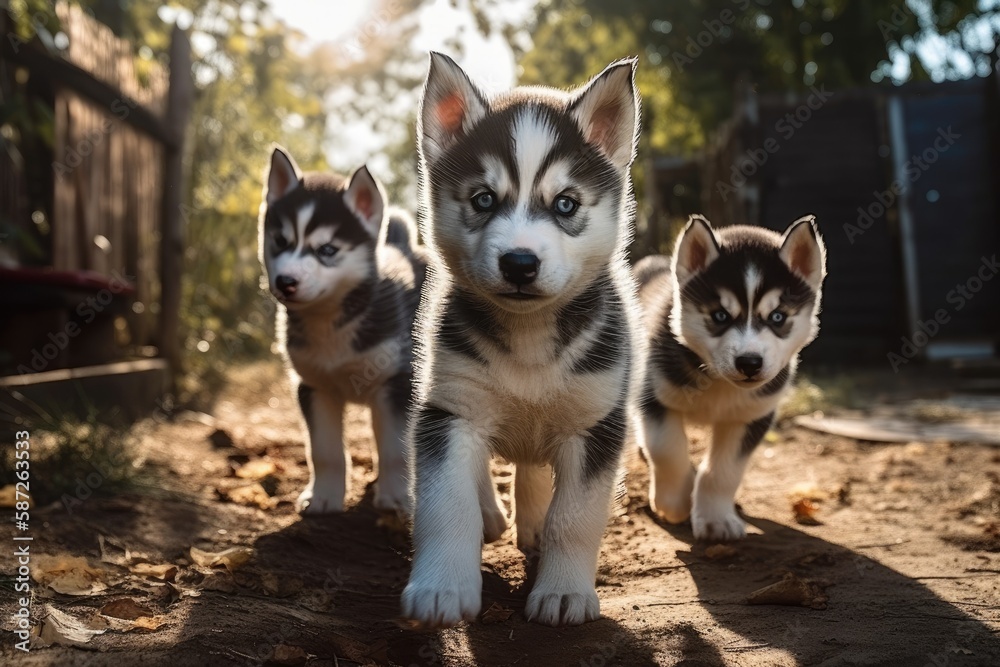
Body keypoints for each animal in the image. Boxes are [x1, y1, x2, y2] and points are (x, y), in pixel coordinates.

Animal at [260, 147, 424, 516]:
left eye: (327, 250)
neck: (331, 323)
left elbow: (395, 449)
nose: (285, 281)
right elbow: (325, 452)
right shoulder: (314, 386)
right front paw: (323, 497)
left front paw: (397, 497)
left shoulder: (395, 383)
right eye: (281, 241)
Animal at [636, 214, 824, 544]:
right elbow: (666, 450)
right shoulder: (653, 394)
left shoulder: (751, 415)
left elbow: (723, 473)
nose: (749, 362)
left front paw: (716, 520)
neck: (717, 381)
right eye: (720, 316)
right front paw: (674, 503)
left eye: (777, 317)